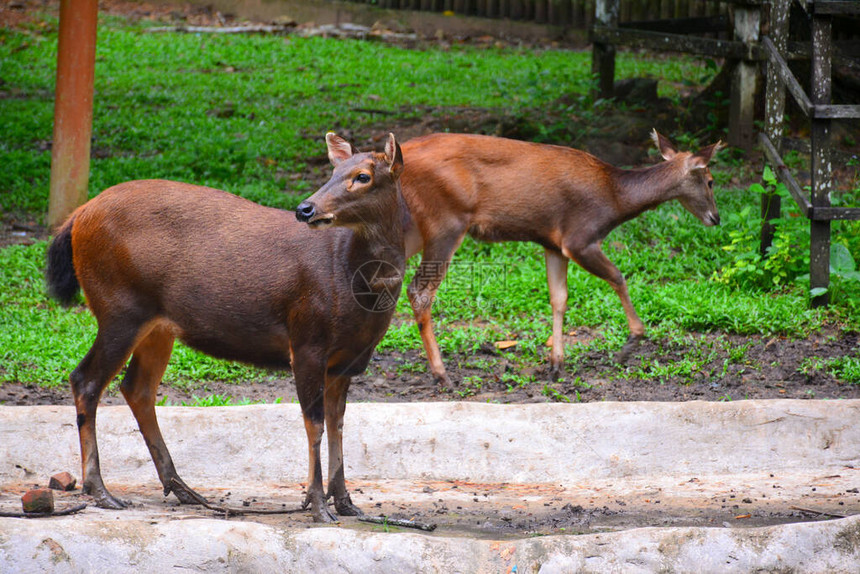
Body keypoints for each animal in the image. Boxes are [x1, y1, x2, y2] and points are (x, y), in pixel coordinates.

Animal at [45, 133, 408, 524]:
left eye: (362, 176)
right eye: (333, 171)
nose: (306, 209)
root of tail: (77, 216)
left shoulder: (348, 360)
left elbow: (337, 423)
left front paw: (346, 502)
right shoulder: (307, 340)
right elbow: (314, 423)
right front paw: (318, 507)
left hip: (157, 325)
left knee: (136, 387)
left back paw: (181, 488)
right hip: (119, 307)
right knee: (86, 379)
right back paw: (100, 490)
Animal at [400, 130, 724, 388]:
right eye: (710, 181)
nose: (716, 218)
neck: (616, 198)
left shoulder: (553, 244)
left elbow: (559, 298)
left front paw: (556, 364)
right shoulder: (579, 239)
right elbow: (618, 277)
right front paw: (631, 342)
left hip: (416, 226)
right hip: (446, 220)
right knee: (419, 290)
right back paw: (441, 374)